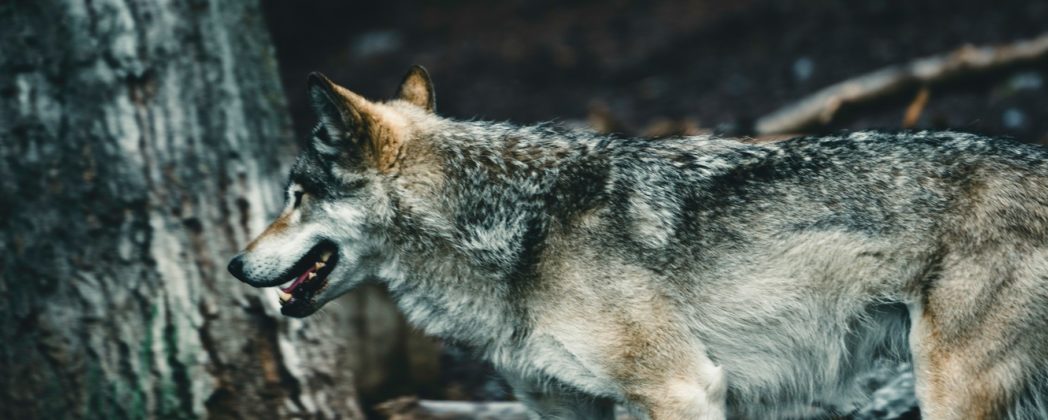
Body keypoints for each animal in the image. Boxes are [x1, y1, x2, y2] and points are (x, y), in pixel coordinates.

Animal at [228, 65, 1048, 419]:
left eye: (295, 196)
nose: (234, 264)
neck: (515, 231)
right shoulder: (563, 410)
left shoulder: (684, 389)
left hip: (951, 393)